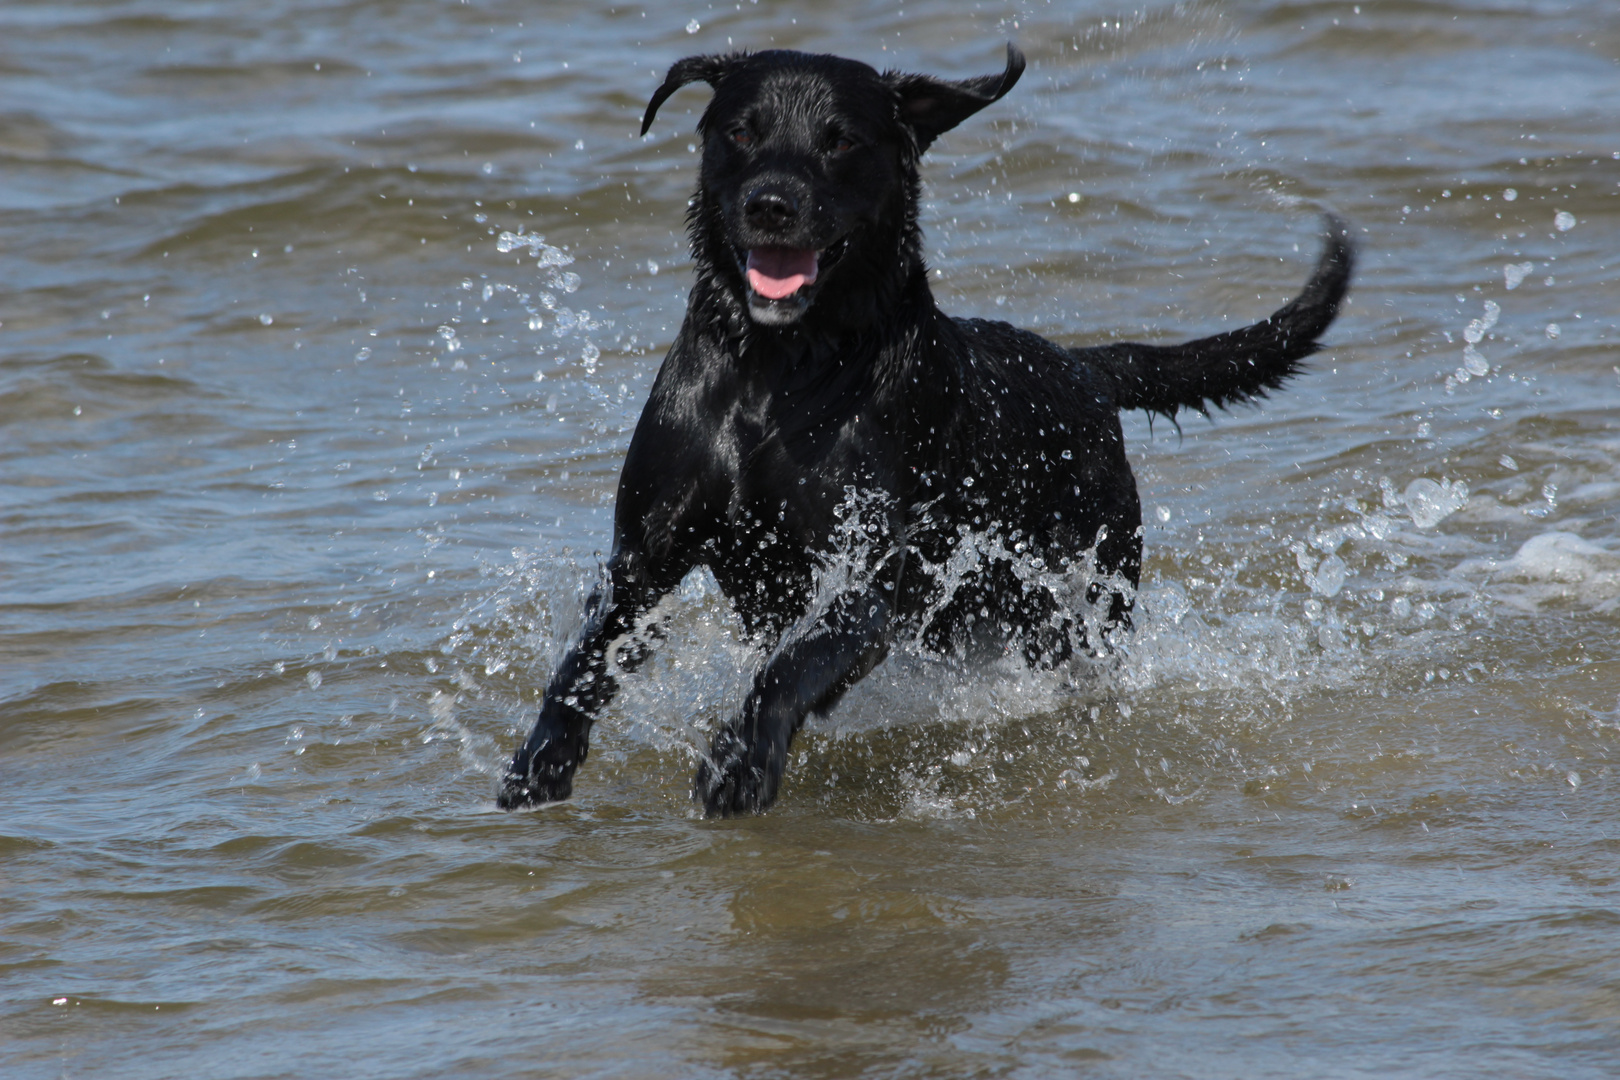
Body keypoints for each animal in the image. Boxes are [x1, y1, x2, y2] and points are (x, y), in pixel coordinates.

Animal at [495, 42, 1354, 819]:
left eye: (841, 140)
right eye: (740, 131)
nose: (771, 203)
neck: (779, 374)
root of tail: (1081, 366)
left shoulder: (876, 573)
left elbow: (795, 662)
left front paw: (740, 761)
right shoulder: (645, 555)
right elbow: (586, 659)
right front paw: (539, 762)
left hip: (1077, 596)